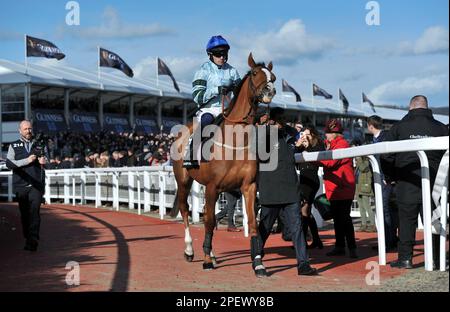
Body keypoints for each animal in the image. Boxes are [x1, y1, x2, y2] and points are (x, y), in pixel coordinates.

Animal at [172, 52, 276, 276]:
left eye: (273, 76)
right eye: (255, 73)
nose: (270, 91)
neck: (235, 142)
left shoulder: (248, 186)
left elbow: (252, 222)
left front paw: (258, 263)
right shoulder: (212, 187)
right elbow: (210, 222)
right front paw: (205, 260)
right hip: (183, 181)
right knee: (185, 210)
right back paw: (190, 250)